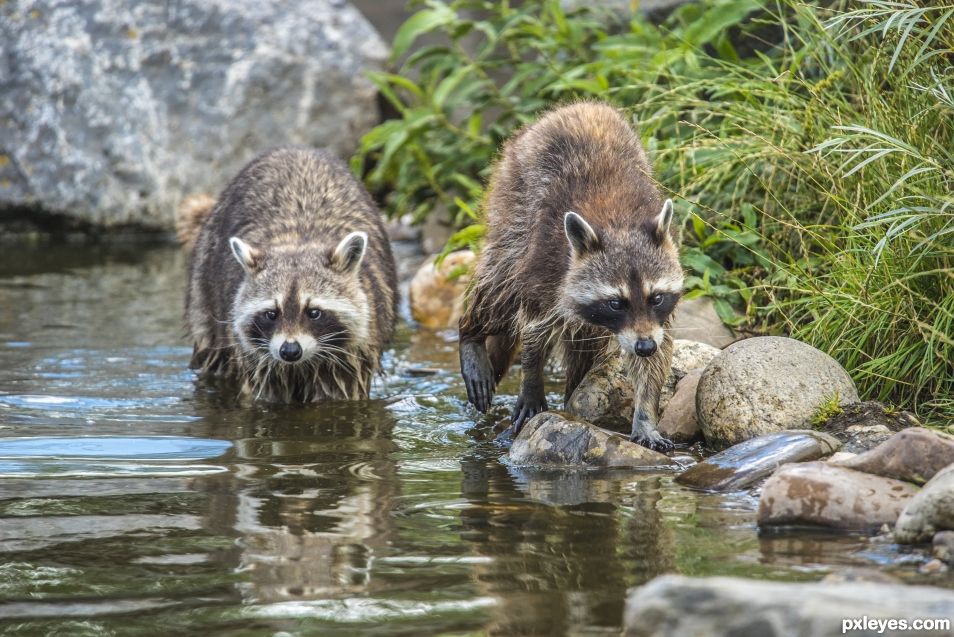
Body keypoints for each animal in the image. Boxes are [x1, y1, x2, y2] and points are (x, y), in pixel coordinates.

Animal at [178, 147, 394, 400]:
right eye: (271, 313)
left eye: (314, 312)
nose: (290, 351)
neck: (298, 240)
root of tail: (296, 149)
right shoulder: (253, 354)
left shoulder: (356, 350)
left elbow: (341, 393)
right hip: (203, 284)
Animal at [458, 102, 680, 452]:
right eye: (616, 303)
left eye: (656, 297)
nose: (644, 346)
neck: (620, 224)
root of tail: (577, 106)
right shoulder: (546, 266)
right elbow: (533, 327)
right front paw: (531, 378)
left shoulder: (656, 319)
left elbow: (659, 353)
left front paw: (645, 415)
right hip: (512, 202)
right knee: (499, 283)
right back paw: (471, 333)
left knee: (584, 346)